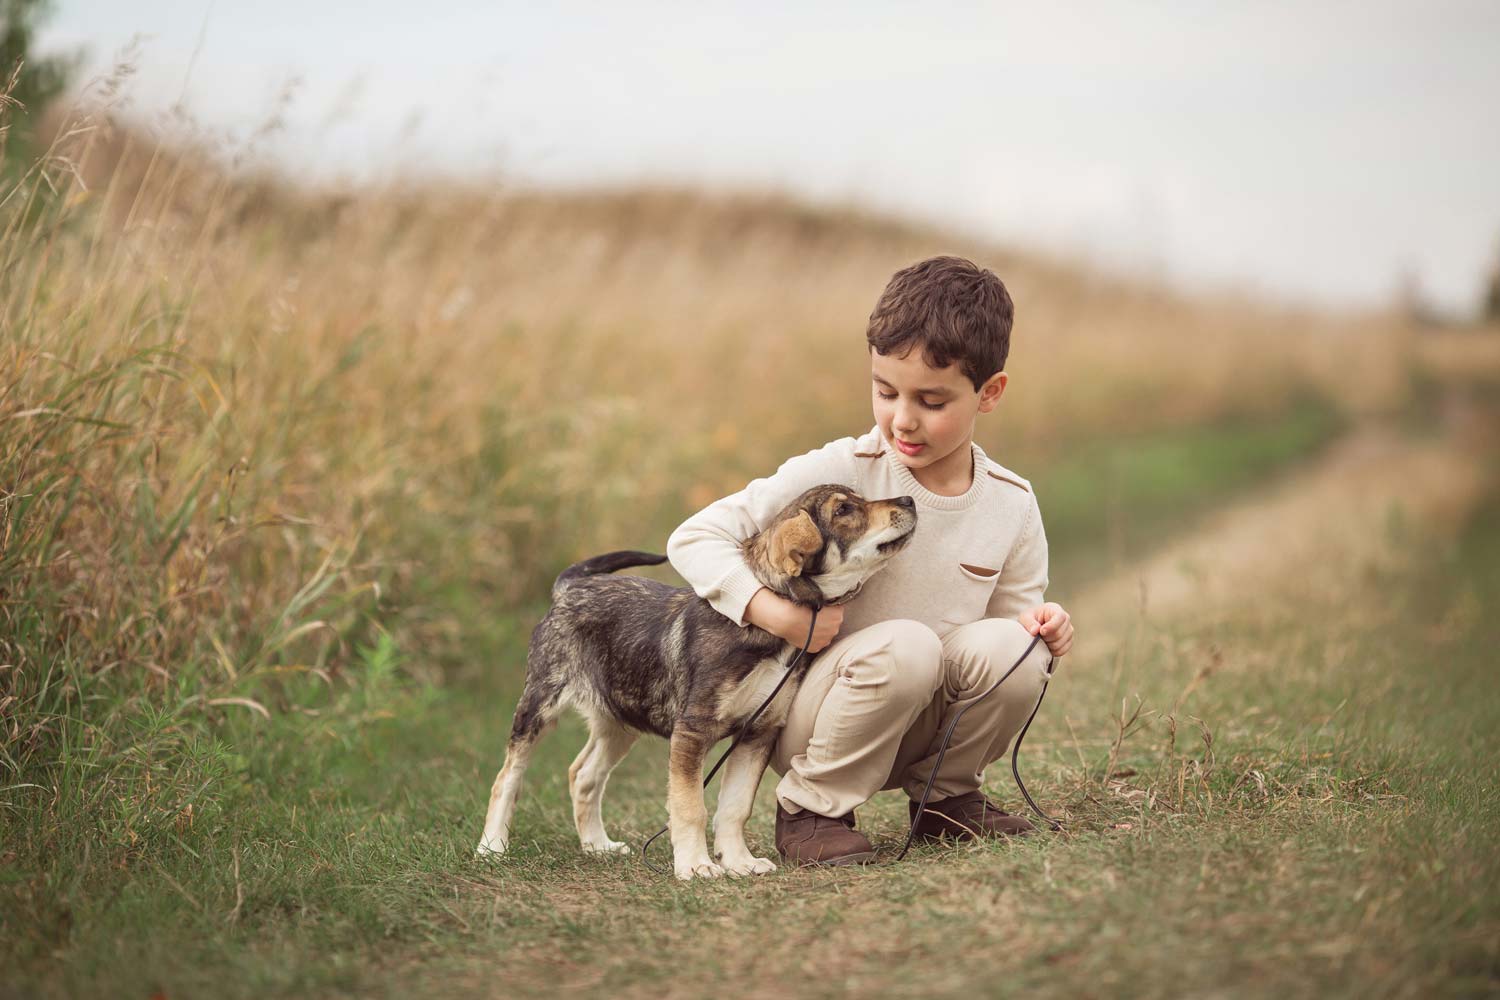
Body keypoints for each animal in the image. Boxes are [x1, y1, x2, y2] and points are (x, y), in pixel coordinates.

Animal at [474, 488, 912, 881]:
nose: (908, 501)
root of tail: (570, 587)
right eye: (844, 509)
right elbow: (690, 807)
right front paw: (695, 866)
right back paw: (492, 847)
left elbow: (735, 806)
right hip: (539, 704)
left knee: (583, 775)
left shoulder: (758, 731)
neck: (771, 628)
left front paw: (739, 862)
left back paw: (598, 845)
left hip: (620, 719)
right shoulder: (692, 731)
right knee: (507, 777)